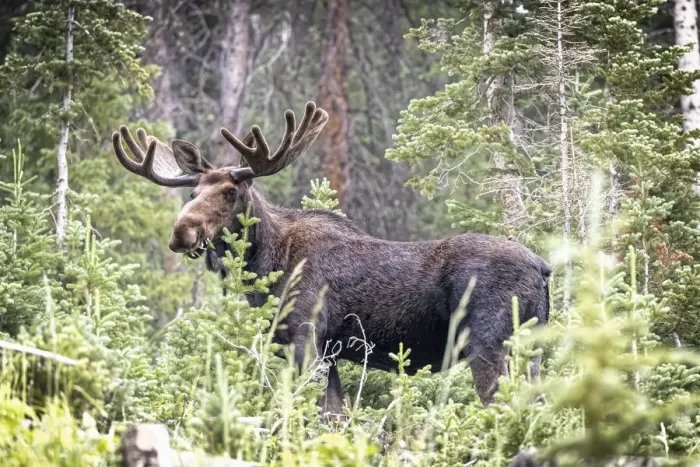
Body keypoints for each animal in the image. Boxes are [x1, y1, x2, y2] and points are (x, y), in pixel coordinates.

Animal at [111, 101, 551, 415]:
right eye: (192, 192)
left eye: (230, 192)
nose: (180, 232)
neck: (266, 266)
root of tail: (545, 268)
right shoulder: (330, 353)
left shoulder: (306, 337)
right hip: (531, 348)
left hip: (489, 342)